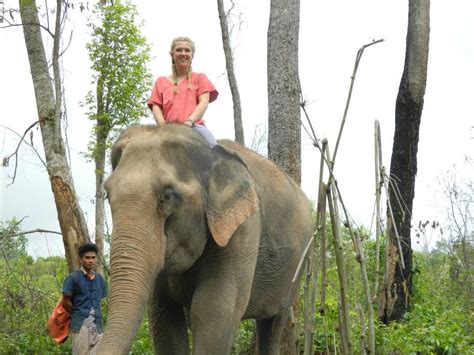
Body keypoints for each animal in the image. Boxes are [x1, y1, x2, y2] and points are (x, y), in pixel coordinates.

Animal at [99, 124, 314, 354]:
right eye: (108, 194)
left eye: (167, 195)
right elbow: (164, 315)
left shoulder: (243, 228)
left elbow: (212, 309)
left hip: (295, 269)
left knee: (274, 322)